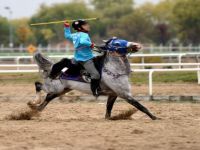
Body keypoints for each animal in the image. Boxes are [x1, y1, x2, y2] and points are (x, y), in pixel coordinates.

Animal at [27, 38, 158, 120]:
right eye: (116, 43)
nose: (136, 45)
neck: (114, 71)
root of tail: (52, 68)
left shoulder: (113, 94)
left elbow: (108, 109)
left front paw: (108, 118)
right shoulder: (124, 94)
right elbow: (141, 106)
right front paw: (154, 117)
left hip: (61, 90)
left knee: (47, 98)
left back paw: (36, 108)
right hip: (54, 88)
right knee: (38, 85)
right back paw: (33, 103)